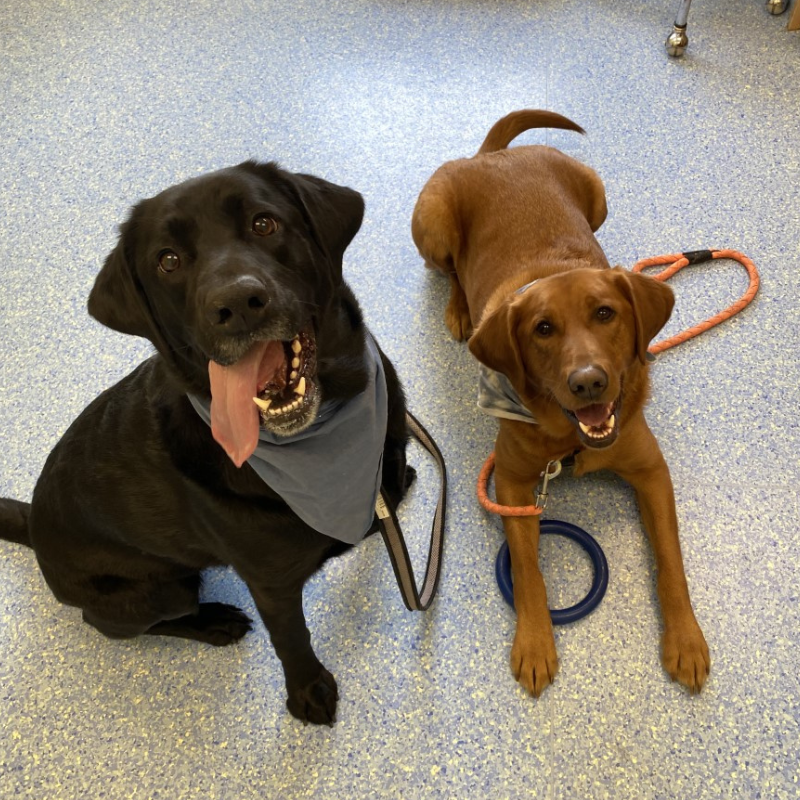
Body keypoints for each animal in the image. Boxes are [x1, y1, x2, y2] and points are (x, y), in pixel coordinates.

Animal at [0, 162, 412, 724]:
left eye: (264, 223)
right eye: (168, 261)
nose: (237, 303)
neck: (319, 437)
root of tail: (35, 528)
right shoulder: (271, 584)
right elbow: (292, 638)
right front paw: (307, 691)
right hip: (163, 590)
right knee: (116, 622)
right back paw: (214, 622)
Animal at [416, 109, 708, 696]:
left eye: (605, 313)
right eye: (543, 329)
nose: (590, 382)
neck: (571, 441)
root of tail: (493, 155)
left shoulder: (652, 472)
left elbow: (672, 560)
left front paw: (686, 639)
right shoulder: (511, 483)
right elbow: (528, 570)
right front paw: (534, 643)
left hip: (598, 194)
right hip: (431, 222)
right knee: (451, 268)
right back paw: (460, 311)